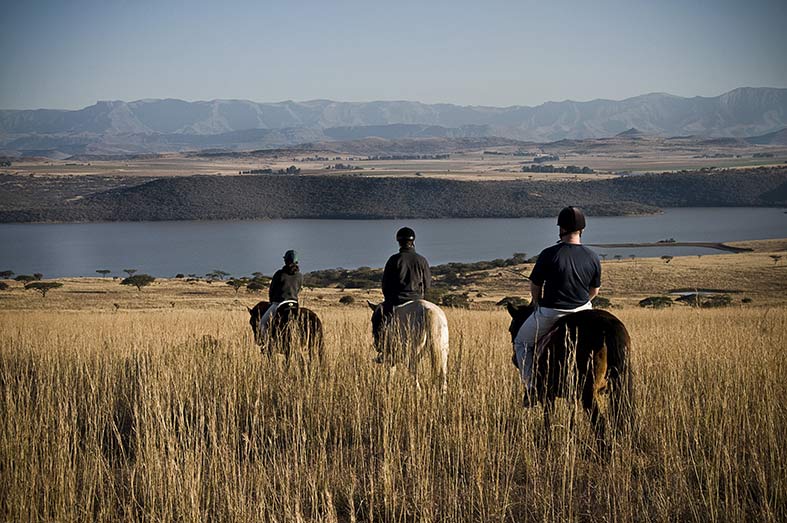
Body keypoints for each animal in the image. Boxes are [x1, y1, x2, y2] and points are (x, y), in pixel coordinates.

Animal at [508, 302, 636, 454]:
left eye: (511, 329)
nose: (514, 359)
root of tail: (608, 325)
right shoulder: (572, 395)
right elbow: (572, 419)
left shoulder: (547, 395)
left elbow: (548, 419)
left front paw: (547, 445)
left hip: (588, 394)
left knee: (599, 423)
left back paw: (604, 453)